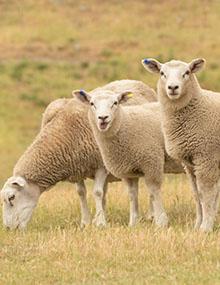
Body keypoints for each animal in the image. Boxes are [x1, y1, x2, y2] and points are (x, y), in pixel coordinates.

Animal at [0, 79, 156, 229]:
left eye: (12, 197)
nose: (8, 228)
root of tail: (138, 83)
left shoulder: (101, 166)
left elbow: (97, 192)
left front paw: (100, 224)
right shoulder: (77, 167)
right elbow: (81, 193)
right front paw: (86, 222)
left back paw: (151, 215)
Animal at [73, 89, 183, 226]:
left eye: (115, 103)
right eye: (92, 103)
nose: (103, 118)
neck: (125, 123)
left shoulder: (152, 161)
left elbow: (154, 191)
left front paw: (161, 221)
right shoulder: (128, 170)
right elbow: (132, 194)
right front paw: (133, 223)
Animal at [142, 57, 220, 231]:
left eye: (187, 72)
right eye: (162, 73)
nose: (172, 87)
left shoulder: (207, 157)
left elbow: (206, 193)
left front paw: (206, 227)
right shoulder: (190, 163)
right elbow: (196, 194)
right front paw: (197, 225)